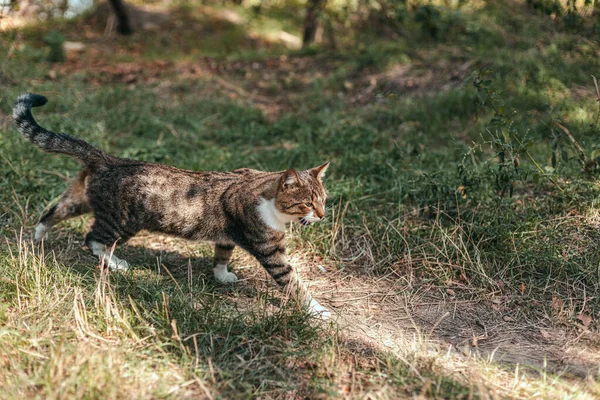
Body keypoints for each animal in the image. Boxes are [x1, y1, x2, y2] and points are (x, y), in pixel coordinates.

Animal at [12, 93, 332, 318]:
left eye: (323, 200)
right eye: (307, 202)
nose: (322, 215)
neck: (268, 200)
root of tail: (110, 159)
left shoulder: (227, 236)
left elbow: (222, 254)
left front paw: (222, 276)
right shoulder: (270, 249)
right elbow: (293, 281)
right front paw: (317, 310)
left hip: (84, 200)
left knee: (55, 211)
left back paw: (37, 238)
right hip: (123, 220)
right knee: (93, 239)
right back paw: (116, 264)